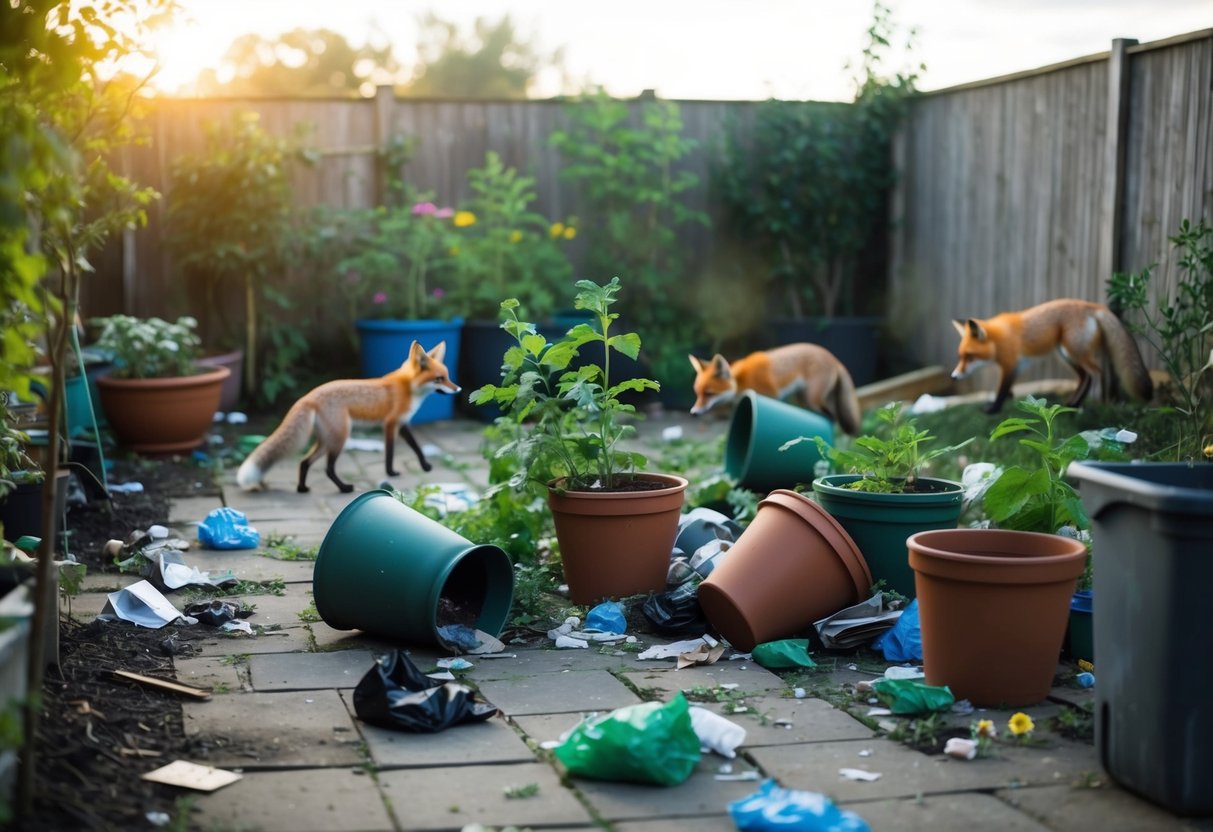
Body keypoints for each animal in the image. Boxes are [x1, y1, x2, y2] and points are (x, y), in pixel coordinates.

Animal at [236, 340, 460, 494]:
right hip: (340, 437)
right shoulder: (391, 423)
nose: (458, 389)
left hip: (327, 440)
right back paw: (344, 488)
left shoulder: (403, 423)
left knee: (305, 462)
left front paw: (425, 466)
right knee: (327, 468)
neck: (407, 387)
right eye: (439, 379)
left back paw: (302, 488)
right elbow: (390, 452)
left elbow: (416, 447)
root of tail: (309, 395)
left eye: (448, 377)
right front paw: (391, 473)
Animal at [689, 343, 861, 435]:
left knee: (832, 418)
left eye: (709, 394)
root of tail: (834, 358)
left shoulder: (770, 397)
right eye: (697, 394)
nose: (693, 412)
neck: (742, 380)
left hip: (813, 400)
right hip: (805, 399)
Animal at [952, 298, 1153, 414]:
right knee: (1085, 377)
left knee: (1097, 373)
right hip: (1065, 355)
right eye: (960, 356)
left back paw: (1089, 404)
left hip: (1071, 351)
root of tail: (1093, 305)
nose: (953, 376)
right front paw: (1007, 399)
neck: (1000, 338)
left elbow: (1001, 389)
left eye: (969, 357)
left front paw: (994, 409)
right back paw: (1072, 403)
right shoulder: (1016, 366)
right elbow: (1008, 388)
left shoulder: (1010, 364)